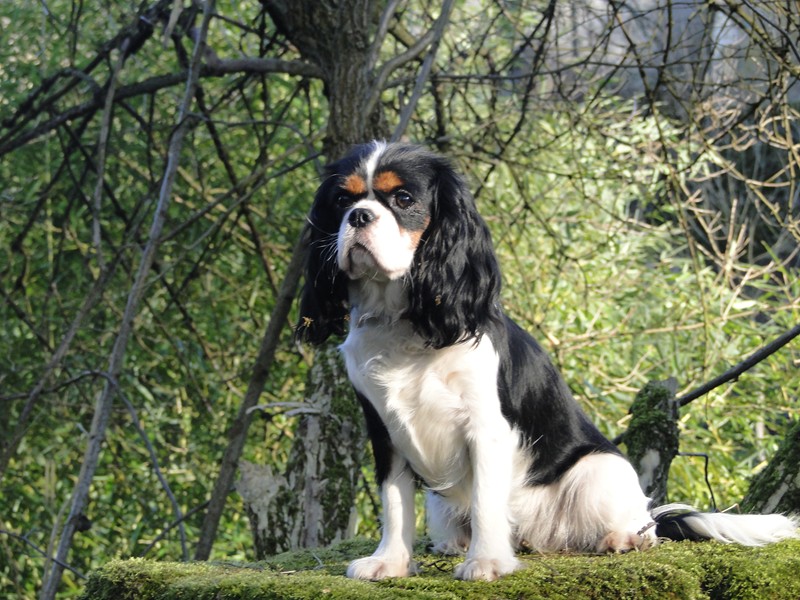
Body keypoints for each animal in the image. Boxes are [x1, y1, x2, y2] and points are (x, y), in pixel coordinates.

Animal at [296, 141, 800, 580]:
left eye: (403, 199)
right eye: (342, 200)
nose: (359, 216)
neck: (404, 319)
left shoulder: (487, 428)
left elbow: (485, 500)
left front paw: (487, 563)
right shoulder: (385, 430)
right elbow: (395, 500)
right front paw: (390, 563)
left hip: (601, 471)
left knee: (642, 526)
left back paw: (623, 538)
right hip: (442, 501)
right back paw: (454, 543)